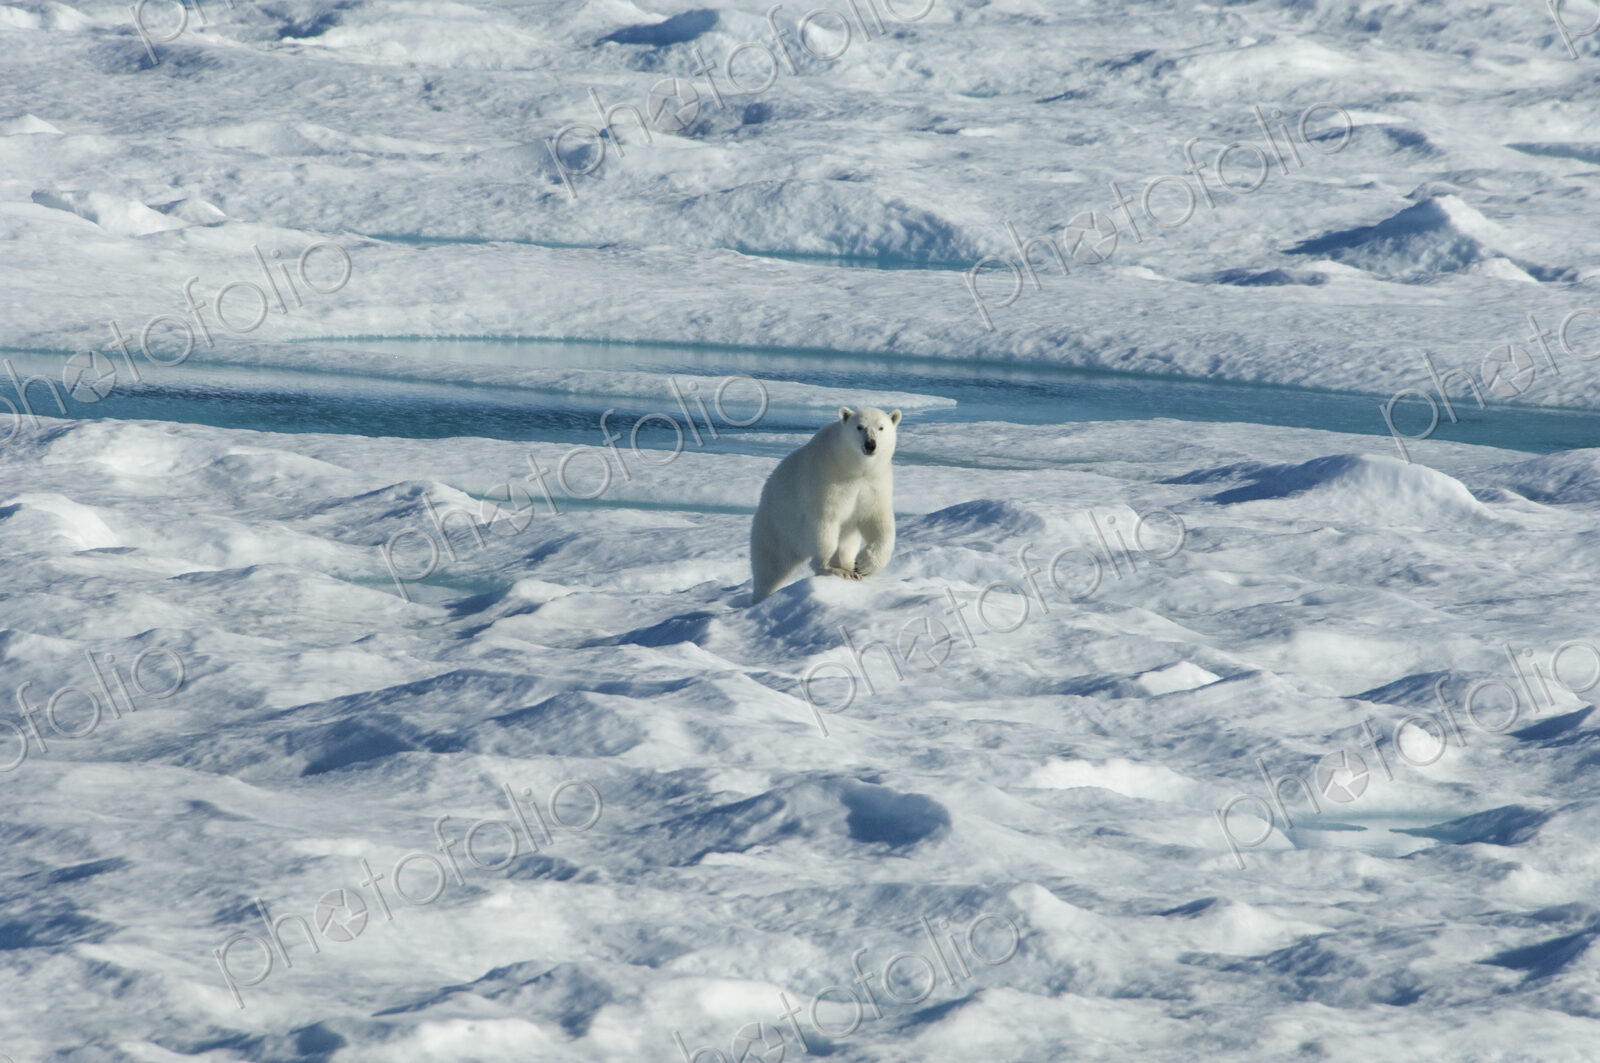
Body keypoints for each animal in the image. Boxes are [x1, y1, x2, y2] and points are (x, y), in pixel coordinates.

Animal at [749, 405, 901, 605]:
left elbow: (878, 521)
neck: (853, 468)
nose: (870, 444)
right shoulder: (827, 478)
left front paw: (864, 566)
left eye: (881, 427)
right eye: (859, 427)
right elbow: (825, 522)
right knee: (770, 568)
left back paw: (848, 566)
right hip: (776, 529)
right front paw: (830, 568)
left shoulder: (874, 483)